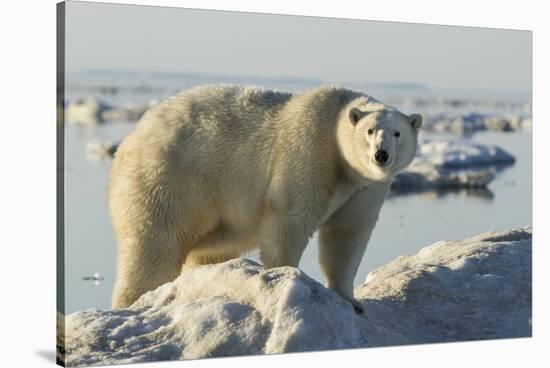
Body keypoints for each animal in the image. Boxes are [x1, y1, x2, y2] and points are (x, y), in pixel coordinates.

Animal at [110, 85, 424, 312]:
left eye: (397, 133)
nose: (381, 155)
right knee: (155, 245)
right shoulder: (311, 149)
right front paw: (286, 278)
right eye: (370, 131)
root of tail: (131, 138)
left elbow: (347, 234)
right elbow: (290, 219)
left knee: (209, 251)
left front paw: (351, 300)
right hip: (171, 180)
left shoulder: (364, 188)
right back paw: (134, 302)